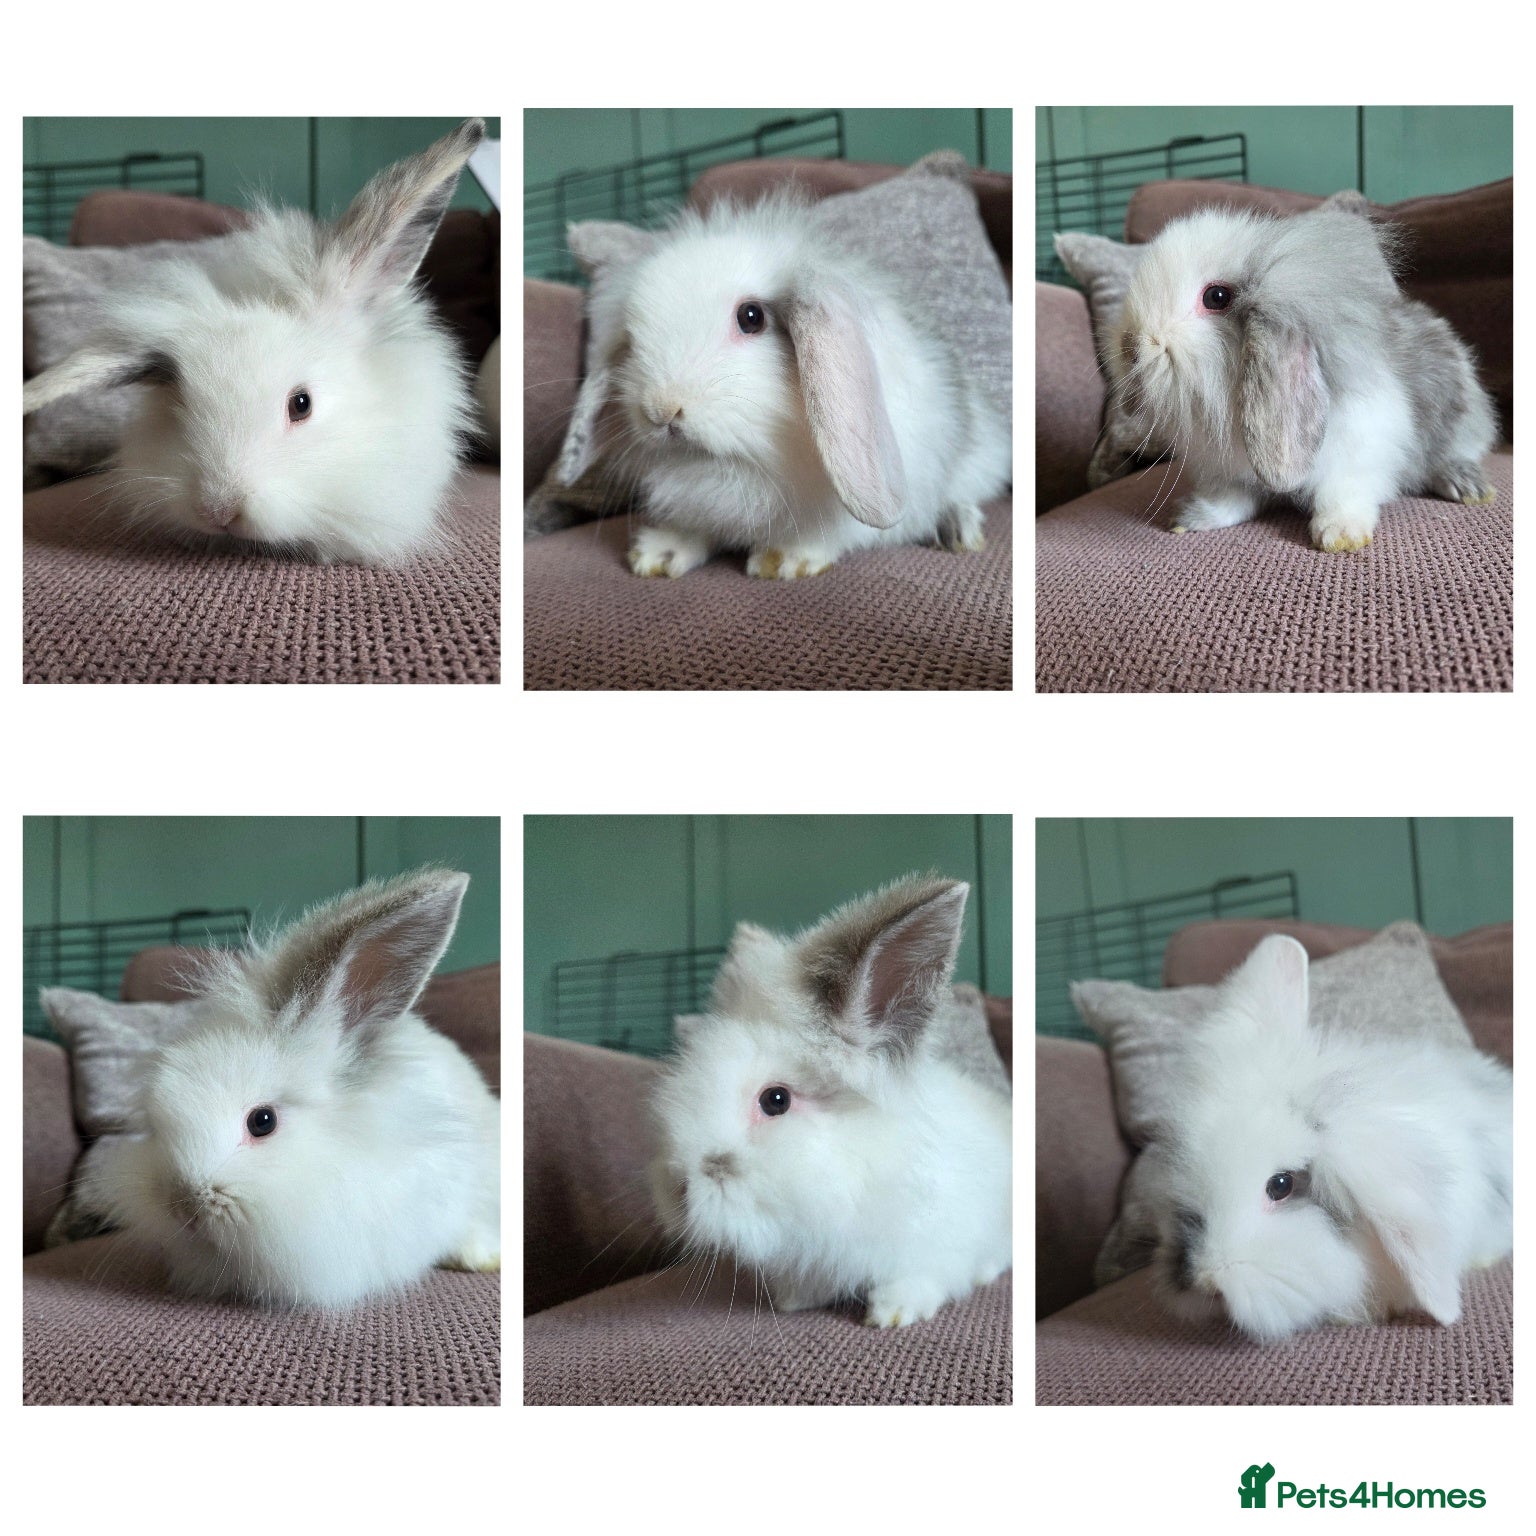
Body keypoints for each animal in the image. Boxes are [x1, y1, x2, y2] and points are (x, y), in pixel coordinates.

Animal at [558, 195, 1011, 579]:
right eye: (632, 337)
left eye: (752, 317)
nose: (661, 409)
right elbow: (695, 524)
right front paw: (657, 554)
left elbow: (835, 531)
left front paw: (783, 561)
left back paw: (957, 528)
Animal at [649, 875, 1012, 1327]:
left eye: (776, 1100)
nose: (676, 1188)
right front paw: (792, 1301)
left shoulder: (939, 1248)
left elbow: (922, 1278)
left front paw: (889, 1314)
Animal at [1107, 193, 1498, 552]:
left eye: (1216, 297)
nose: (1129, 347)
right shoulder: (1228, 475)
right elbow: (1231, 500)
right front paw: (1190, 517)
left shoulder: (1359, 453)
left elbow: (1342, 493)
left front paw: (1340, 535)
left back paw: (1467, 486)